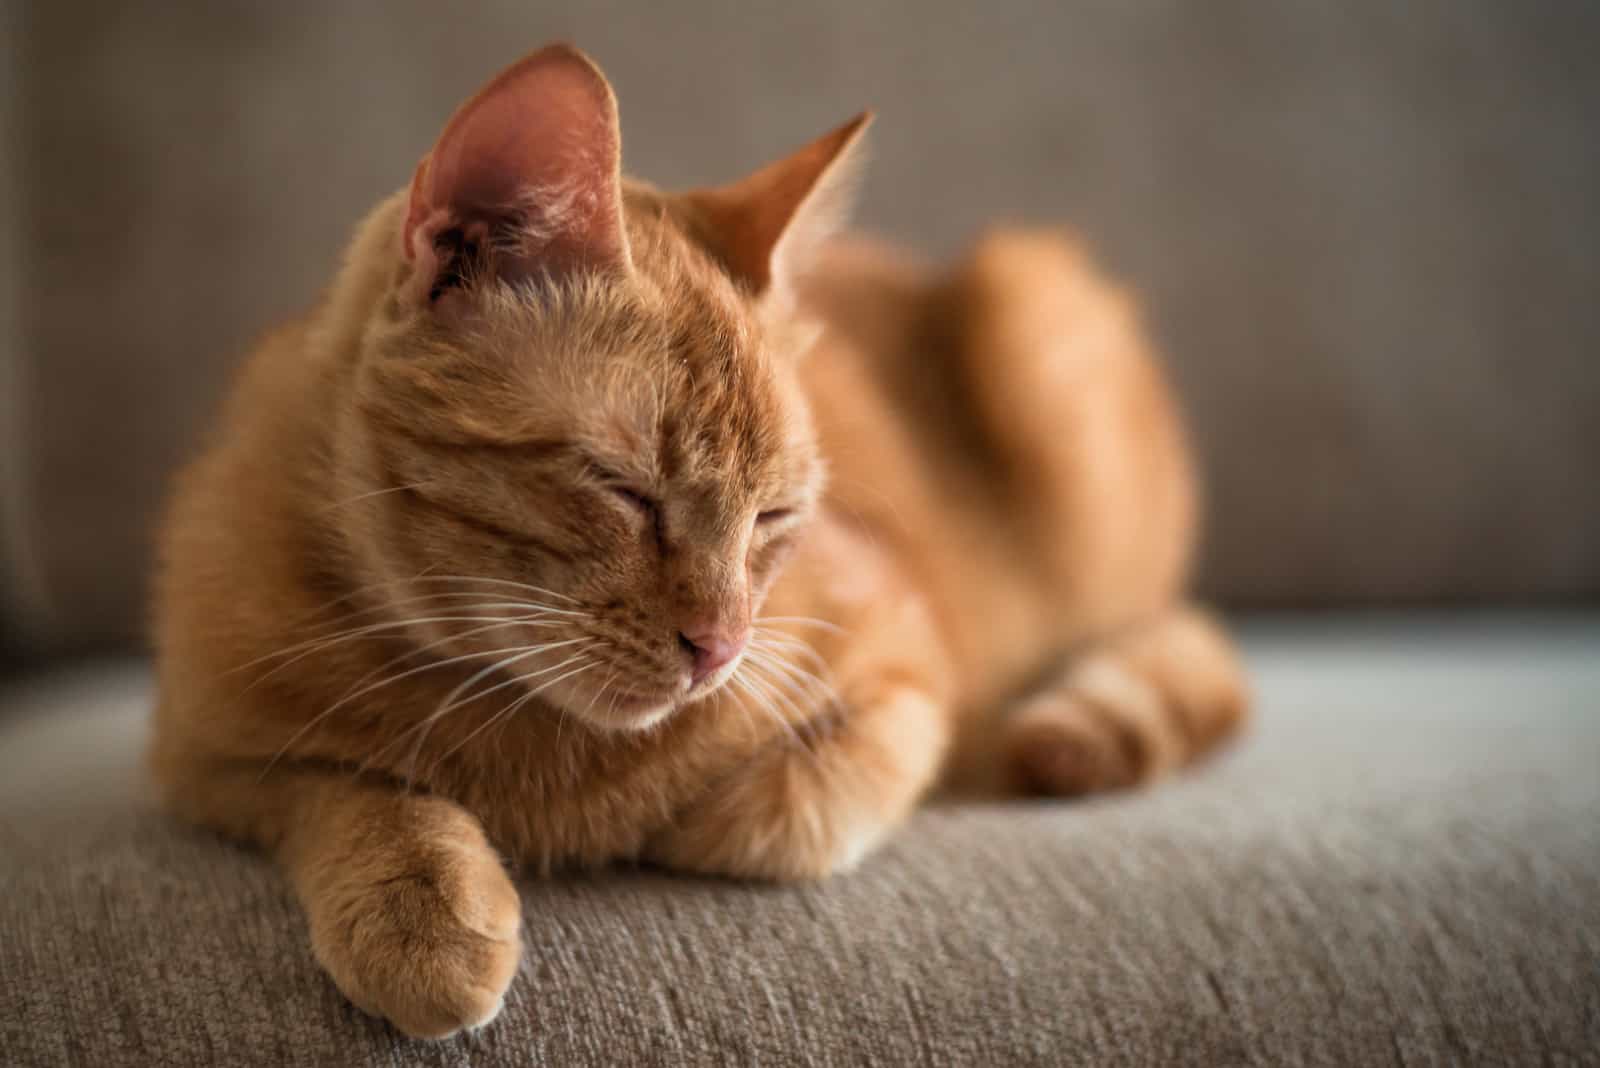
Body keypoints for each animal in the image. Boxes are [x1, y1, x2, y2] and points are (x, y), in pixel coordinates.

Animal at [150, 45, 1248, 1036]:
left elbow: (786, 815)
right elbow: (342, 789)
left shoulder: (906, 673)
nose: (719, 649)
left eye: (775, 517)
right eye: (624, 489)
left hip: (1043, 323)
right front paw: (417, 906)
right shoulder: (201, 757)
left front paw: (688, 817)